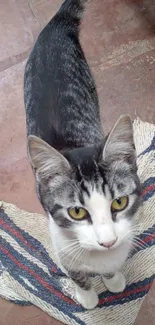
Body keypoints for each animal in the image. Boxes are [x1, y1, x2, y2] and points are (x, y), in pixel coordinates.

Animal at [23, 0, 141, 308]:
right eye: (77, 212)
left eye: (119, 202)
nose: (108, 242)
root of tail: (54, 29)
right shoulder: (61, 244)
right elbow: (75, 271)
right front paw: (86, 295)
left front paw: (112, 278)